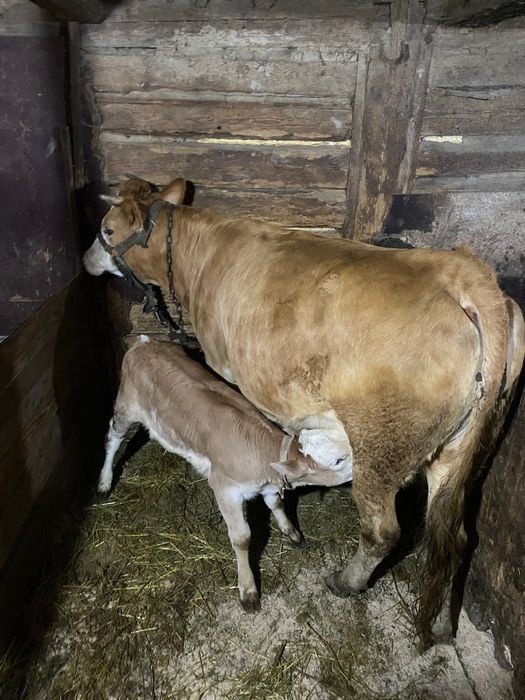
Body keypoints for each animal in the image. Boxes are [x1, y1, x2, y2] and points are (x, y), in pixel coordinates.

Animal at [98, 335, 349, 611]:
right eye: (337, 460)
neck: (264, 455)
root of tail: (144, 343)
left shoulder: (269, 486)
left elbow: (276, 504)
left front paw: (291, 531)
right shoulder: (224, 488)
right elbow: (242, 538)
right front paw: (248, 590)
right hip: (126, 406)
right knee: (113, 438)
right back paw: (105, 481)